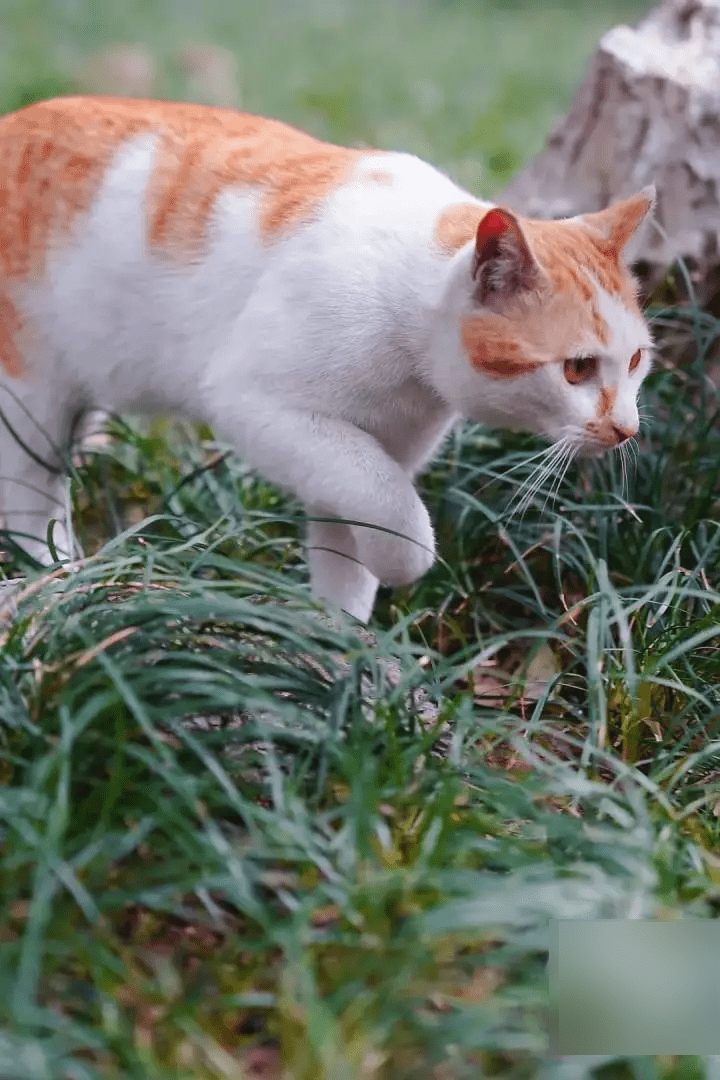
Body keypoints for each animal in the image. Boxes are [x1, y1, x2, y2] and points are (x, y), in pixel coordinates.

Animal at [0, 101, 656, 626]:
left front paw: (342, 647)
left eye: (636, 360)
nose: (626, 428)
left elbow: (349, 541)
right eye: (577, 368)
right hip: (30, 403)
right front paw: (406, 560)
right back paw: (56, 580)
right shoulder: (258, 404)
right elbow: (389, 501)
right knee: (31, 499)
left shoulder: (363, 450)